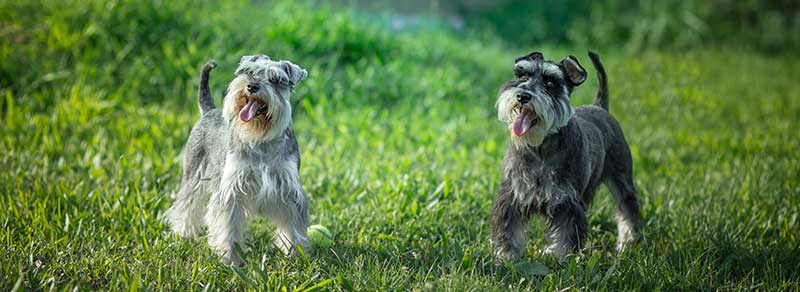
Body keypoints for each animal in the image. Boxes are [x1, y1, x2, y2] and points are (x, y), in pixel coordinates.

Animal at [166, 55, 310, 266]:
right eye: (248, 71)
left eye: (276, 79)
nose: (251, 86)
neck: (260, 139)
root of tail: (209, 111)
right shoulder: (231, 189)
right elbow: (227, 226)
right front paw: (230, 258)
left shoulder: (289, 189)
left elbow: (293, 226)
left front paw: (295, 254)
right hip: (193, 175)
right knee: (185, 205)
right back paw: (182, 234)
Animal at [488, 51, 644, 262]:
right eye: (522, 76)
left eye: (550, 83)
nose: (522, 95)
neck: (540, 148)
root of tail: (600, 107)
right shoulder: (512, 196)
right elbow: (508, 230)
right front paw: (506, 258)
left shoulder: (568, 203)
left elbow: (566, 235)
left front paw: (563, 260)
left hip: (621, 177)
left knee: (628, 207)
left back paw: (628, 242)